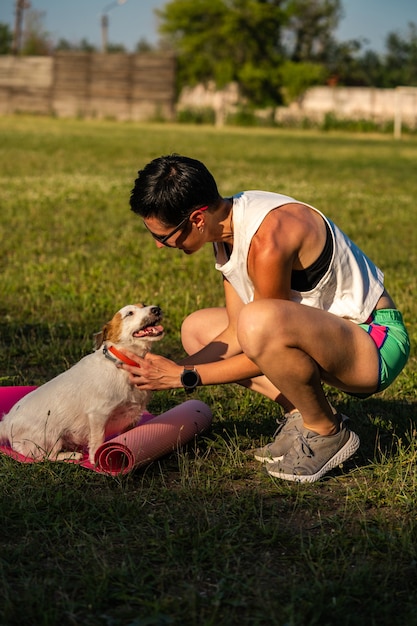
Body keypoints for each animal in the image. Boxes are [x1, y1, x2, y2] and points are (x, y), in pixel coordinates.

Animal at [0, 302, 163, 464]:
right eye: (129, 313)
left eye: (144, 305)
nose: (157, 309)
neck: (122, 363)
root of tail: (6, 422)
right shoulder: (98, 414)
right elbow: (98, 440)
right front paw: (95, 460)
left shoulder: (131, 418)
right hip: (50, 436)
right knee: (48, 456)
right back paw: (71, 455)